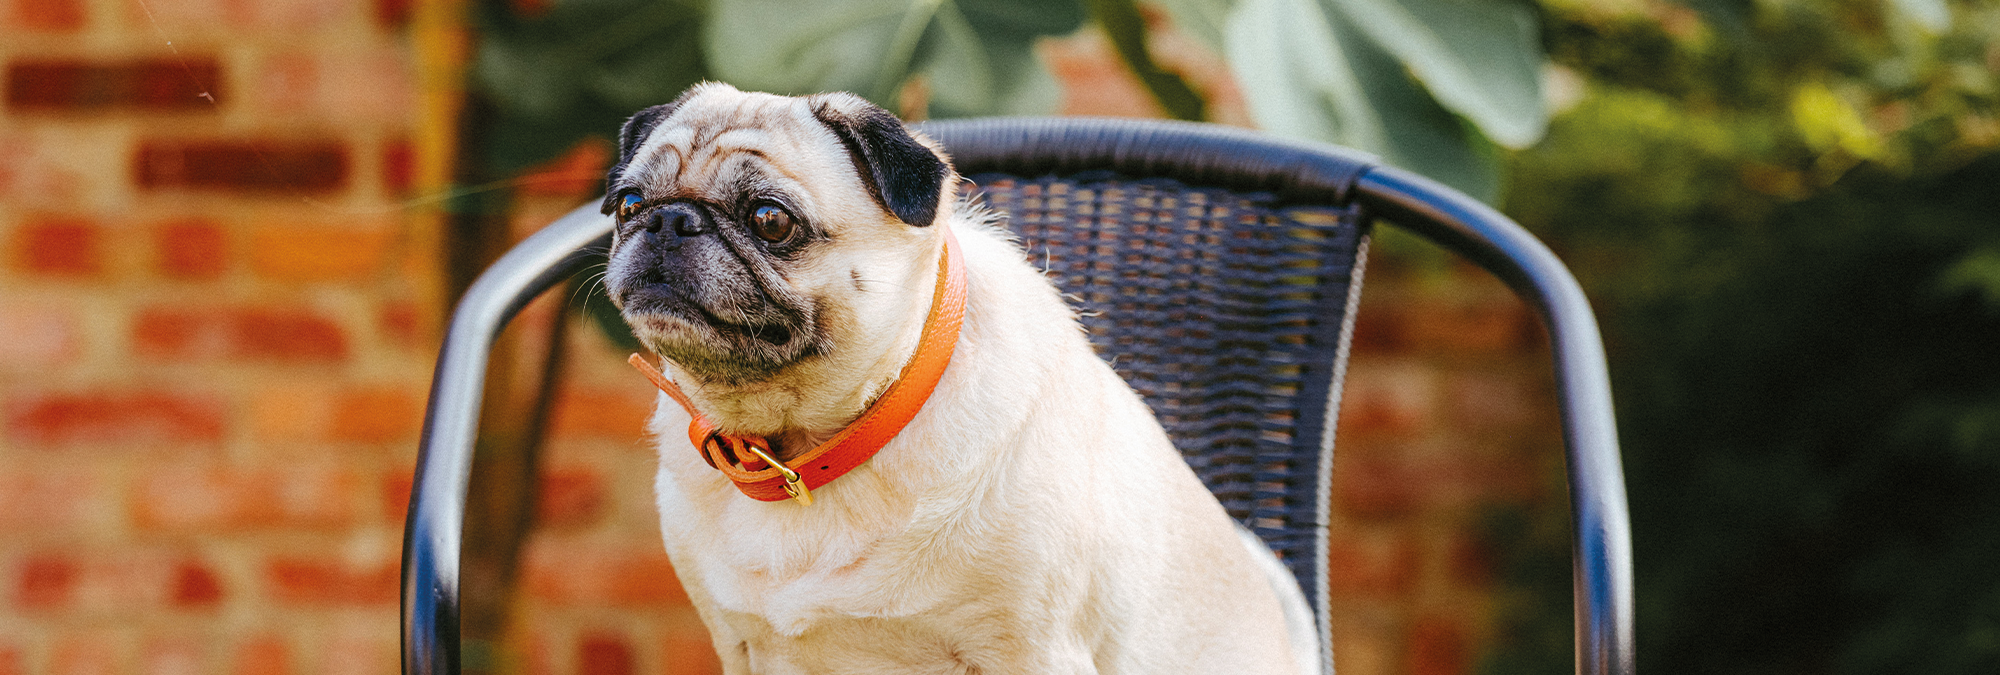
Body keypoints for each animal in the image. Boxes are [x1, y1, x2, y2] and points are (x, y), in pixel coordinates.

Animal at [600, 84, 1320, 675]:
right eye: (628, 203)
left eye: (770, 219)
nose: (668, 219)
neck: (808, 446)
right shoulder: (741, 645)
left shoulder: (1032, 650)